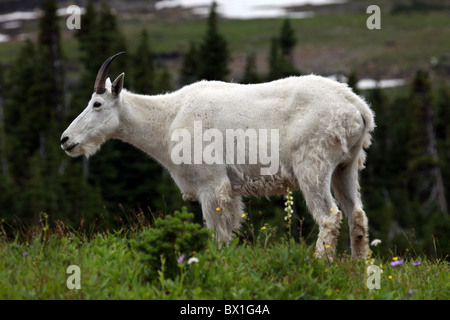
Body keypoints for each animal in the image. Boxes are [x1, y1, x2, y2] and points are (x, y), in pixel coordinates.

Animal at [61, 51, 374, 258]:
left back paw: (320, 263)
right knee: (356, 215)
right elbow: (228, 232)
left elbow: (214, 233)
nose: (66, 140)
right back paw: (359, 271)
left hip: (313, 166)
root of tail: (358, 108)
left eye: (97, 104)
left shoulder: (210, 184)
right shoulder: (231, 191)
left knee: (329, 217)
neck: (167, 120)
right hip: (345, 167)